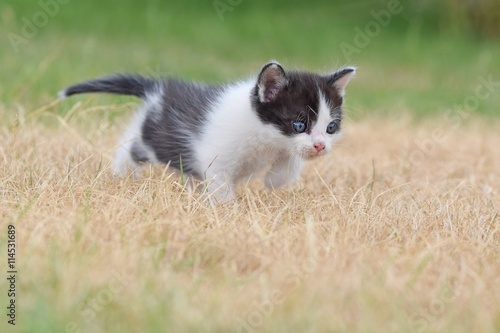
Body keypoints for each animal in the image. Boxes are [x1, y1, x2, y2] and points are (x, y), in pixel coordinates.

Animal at [59, 62, 356, 201]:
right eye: (299, 125)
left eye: (331, 127)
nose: (320, 145)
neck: (264, 138)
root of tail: (160, 88)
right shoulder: (217, 158)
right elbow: (221, 184)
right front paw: (228, 211)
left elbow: (291, 162)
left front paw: (276, 179)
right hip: (158, 140)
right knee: (131, 145)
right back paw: (123, 174)